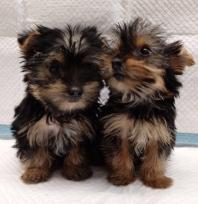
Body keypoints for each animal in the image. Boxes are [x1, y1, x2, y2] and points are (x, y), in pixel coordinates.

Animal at [11, 25, 103, 183]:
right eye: (54, 68)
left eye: (87, 67)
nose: (76, 91)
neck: (61, 112)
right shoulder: (32, 128)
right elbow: (36, 151)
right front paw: (35, 172)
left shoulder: (82, 130)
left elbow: (77, 151)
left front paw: (76, 169)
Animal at [100, 18, 194, 188]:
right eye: (116, 50)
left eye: (145, 51)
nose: (115, 61)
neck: (139, 98)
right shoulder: (118, 128)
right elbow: (121, 154)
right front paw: (122, 176)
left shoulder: (160, 131)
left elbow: (155, 156)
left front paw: (155, 179)